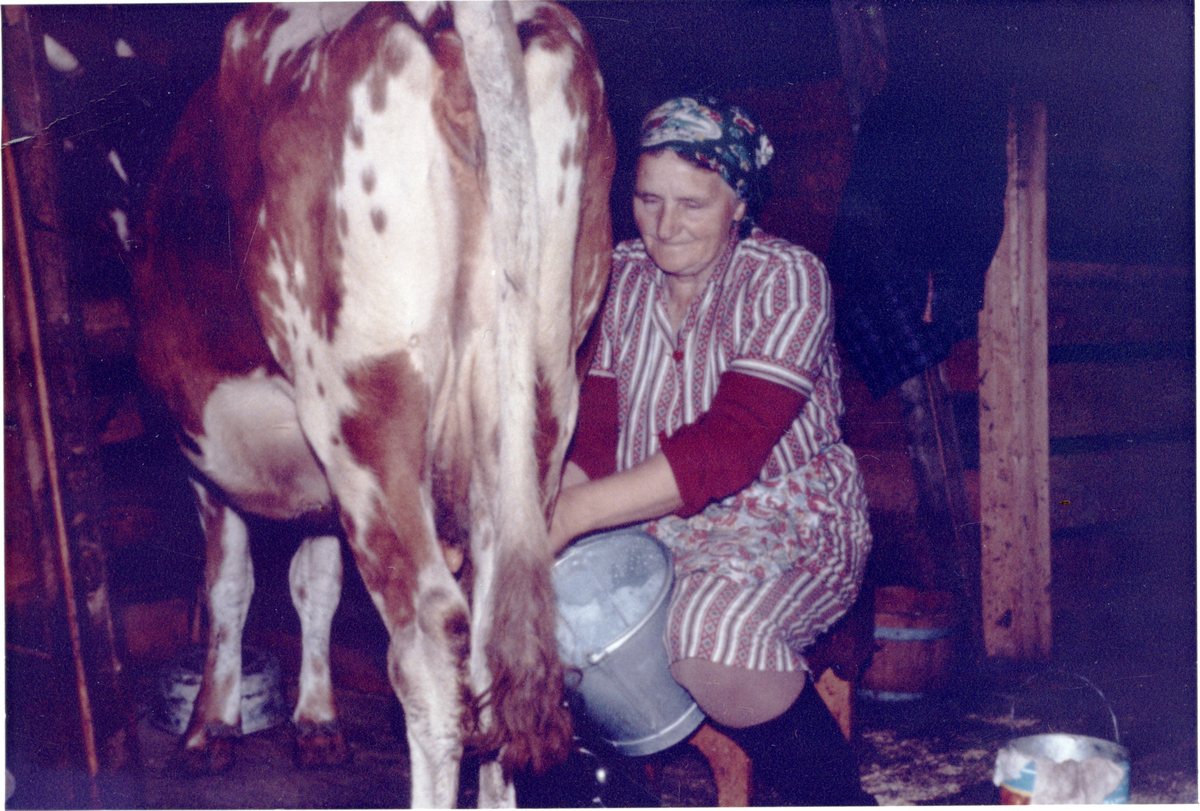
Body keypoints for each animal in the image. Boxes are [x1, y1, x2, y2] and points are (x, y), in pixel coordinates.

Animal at [132, 3, 614, 806]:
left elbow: (230, 586)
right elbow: (315, 583)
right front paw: (317, 723)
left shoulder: (203, 454)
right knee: (493, 651)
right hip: (542, 390)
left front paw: (210, 729)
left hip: (363, 408)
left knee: (430, 644)